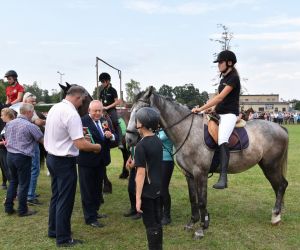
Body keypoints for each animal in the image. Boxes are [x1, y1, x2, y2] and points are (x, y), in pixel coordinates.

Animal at [125, 87, 288, 239]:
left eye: (139, 112)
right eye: (130, 111)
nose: (129, 139)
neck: (187, 131)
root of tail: (280, 128)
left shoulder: (200, 173)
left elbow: (202, 201)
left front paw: (201, 229)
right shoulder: (189, 175)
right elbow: (193, 199)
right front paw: (192, 223)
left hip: (270, 166)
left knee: (281, 185)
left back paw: (275, 215)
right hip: (269, 166)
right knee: (279, 186)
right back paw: (278, 213)